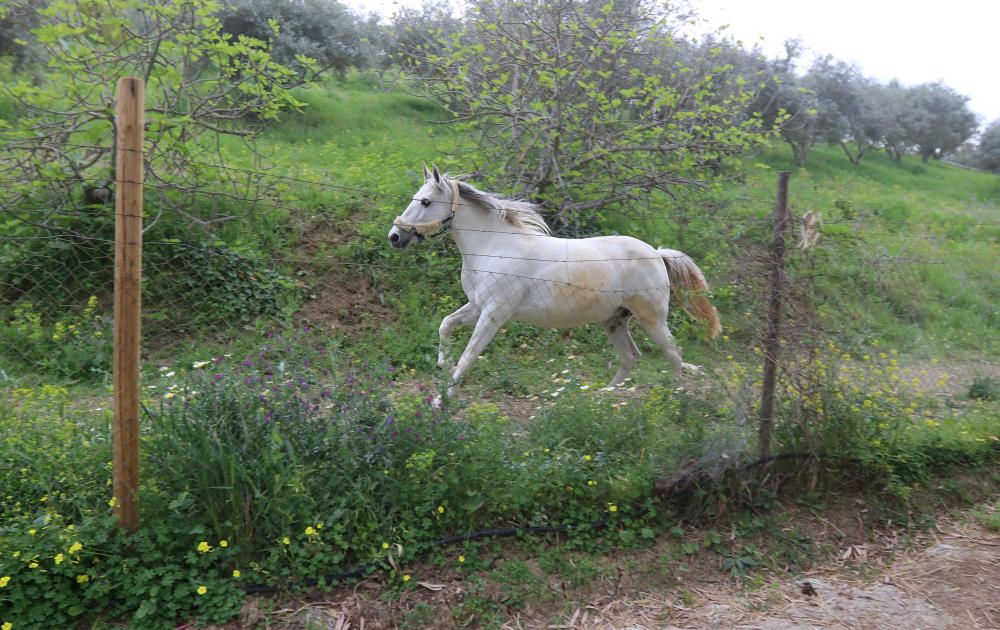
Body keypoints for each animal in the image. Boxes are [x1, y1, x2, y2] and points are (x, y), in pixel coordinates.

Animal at [386, 165, 724, 398]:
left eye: (426, 202)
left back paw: (674, 397)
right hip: (615, 320)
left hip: (651, 318)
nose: (395, 236)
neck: (493, 247)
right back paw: (604, 398)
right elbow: (446, 325)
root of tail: (656, 253)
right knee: (632, 357)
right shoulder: (476, 306)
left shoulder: (494, 313)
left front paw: (442, 400)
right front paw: (442, 364)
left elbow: (469, 355)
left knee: (674, 354)